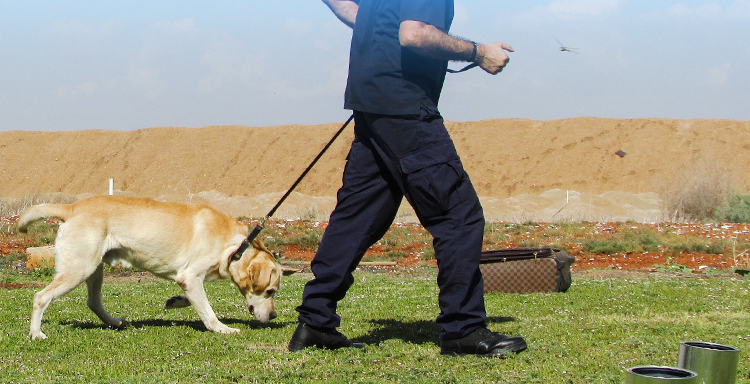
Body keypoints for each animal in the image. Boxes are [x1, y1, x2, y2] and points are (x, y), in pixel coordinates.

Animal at [17, 195, 294, 340]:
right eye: (270, 291)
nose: (273, 316)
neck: (236, 246)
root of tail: (72, 207)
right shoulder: (190, 276)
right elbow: (208, 312)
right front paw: (222, 329)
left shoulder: (189, 280)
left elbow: (195, 300)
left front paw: (177, 301)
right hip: (79, 269)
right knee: (40, 297)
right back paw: (36, 333)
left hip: (94, 269)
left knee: (93, 302)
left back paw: (114, 322)